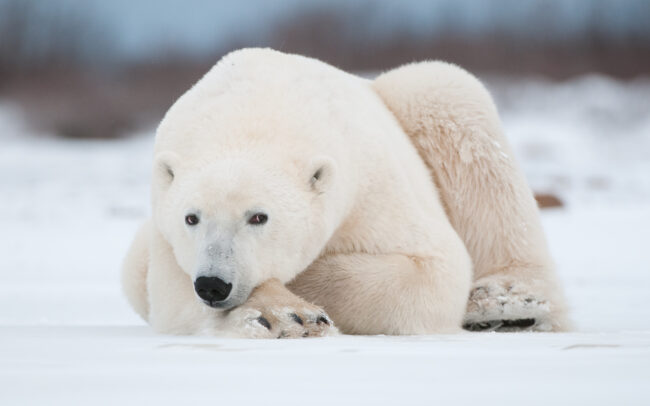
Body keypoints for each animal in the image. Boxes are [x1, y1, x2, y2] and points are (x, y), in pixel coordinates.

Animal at [121, 48, 569, 338]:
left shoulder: (373, 185)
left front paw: (304, 295)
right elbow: (174, 301)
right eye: (191, 217)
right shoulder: (164, 228)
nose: (213, 284)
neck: (253, 118)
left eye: (258, 216)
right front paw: (285, 315)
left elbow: (432, 268)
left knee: (450, 99)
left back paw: (509, 304)